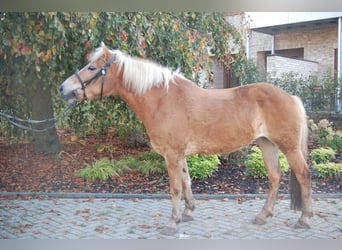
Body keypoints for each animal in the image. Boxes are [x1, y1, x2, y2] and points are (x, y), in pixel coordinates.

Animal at [59, 42, 312, 235]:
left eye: (92, 67)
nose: (64, 89)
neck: (162, 99)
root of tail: (292, 97)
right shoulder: (179, 154)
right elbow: (187, 181)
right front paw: (188, 212)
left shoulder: (171, 154)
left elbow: (175, 188)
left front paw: (173, 222)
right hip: (267, 144)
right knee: (274, 177)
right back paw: (263, 215)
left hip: (289, 148)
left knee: (303, 175)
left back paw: (304, 219)